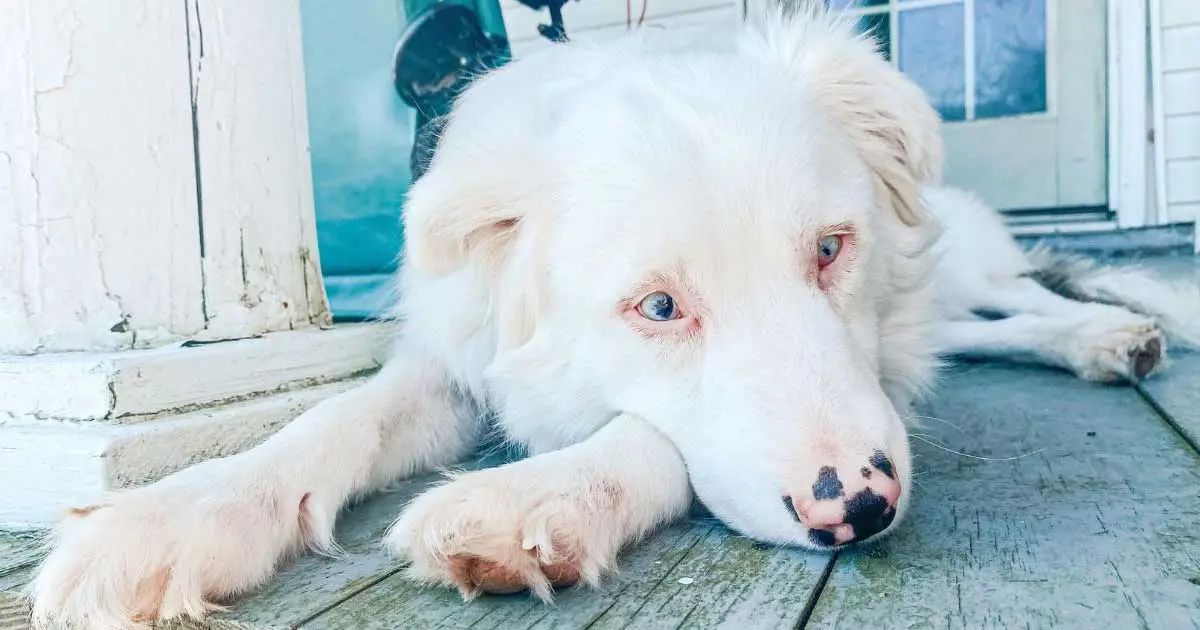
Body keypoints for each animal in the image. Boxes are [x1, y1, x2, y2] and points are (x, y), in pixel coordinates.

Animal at [23, 6, 1195, 628]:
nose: (859, 511)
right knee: (986, 325)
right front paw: (170, 518)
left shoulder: (876, 362)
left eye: (829, 249)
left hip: (947, 265)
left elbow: (648, 434)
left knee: (1023, 293)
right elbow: (329, 421)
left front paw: (538, 498)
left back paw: (1111, 329)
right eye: (659, 307)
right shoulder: (459, 359)